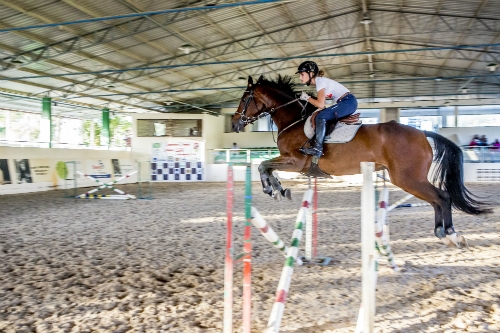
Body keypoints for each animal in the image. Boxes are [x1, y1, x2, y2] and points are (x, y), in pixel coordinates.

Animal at [232, 74, 490, 248]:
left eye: (245, 98)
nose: (234, 124)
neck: (293, 119)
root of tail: (422, 133)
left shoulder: (295, 161)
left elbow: (263, 165)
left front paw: (272, 189)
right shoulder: (291, 162)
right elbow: (266, 167)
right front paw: (278, 189)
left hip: (408, 178)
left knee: (442, 197)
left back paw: (452, 235)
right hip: (410, 179)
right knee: (436, 199)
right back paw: (442, 234)